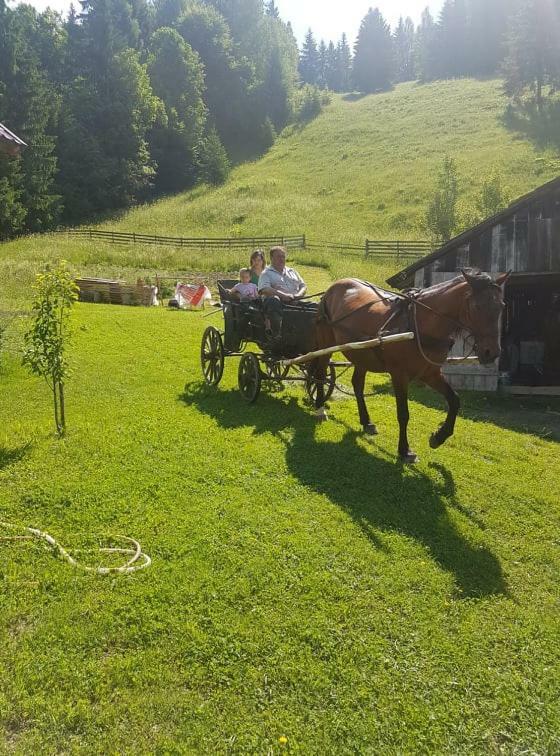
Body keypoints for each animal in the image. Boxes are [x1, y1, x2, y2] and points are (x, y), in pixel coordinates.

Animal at [312, 268, 510, 464]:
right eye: (476, 307)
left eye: (501, 306)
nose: (492, 352)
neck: (418, 325)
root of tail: (335, 287)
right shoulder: (399, 375)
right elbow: (403, 414)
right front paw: (404, 450)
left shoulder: (430, 373)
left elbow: (454, 400)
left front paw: (439, 437)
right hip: (326, 344)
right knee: (320, 374)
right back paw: (320, 408)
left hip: (362, 353)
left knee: (357, 384)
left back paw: (366, 421)